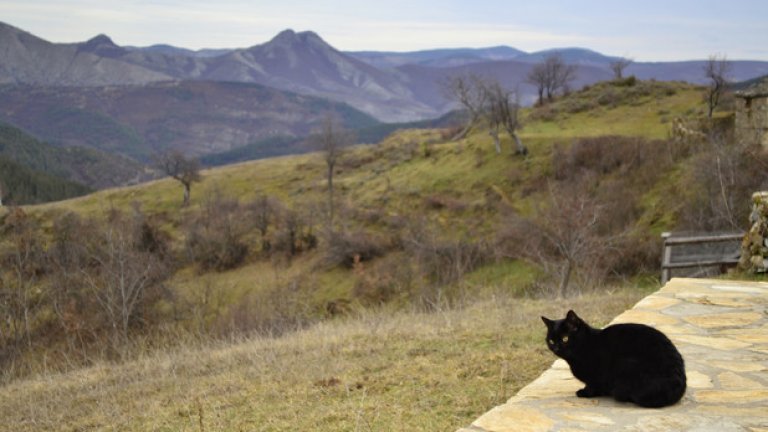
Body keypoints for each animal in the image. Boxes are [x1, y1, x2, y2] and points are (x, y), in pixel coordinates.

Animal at [536, 308, 688, 406]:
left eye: (565, 338)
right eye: (551, 341)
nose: (556, 348)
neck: (585, 345)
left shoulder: (597, 374)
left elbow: (592, 384)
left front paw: (585, 392)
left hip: (626, 365)